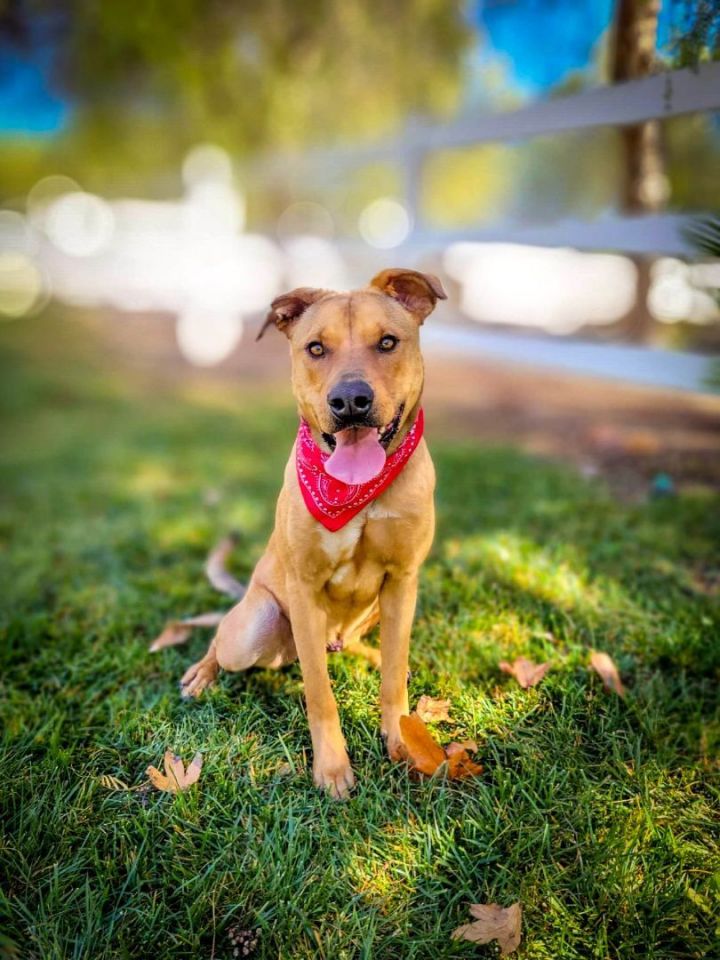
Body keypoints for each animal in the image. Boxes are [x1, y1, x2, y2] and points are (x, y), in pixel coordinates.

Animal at [181, 266, 444, 800]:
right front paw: (333, 767)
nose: (350, 401)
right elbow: (320, 695)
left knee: (372, 646)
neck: (356, 492)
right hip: (255, 624)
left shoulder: (404, 579)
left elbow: (393, 678)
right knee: (223, 639)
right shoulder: (302, 587)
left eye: (388, 342)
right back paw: (202, 673)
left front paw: (400, 735)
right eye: (316, 348)